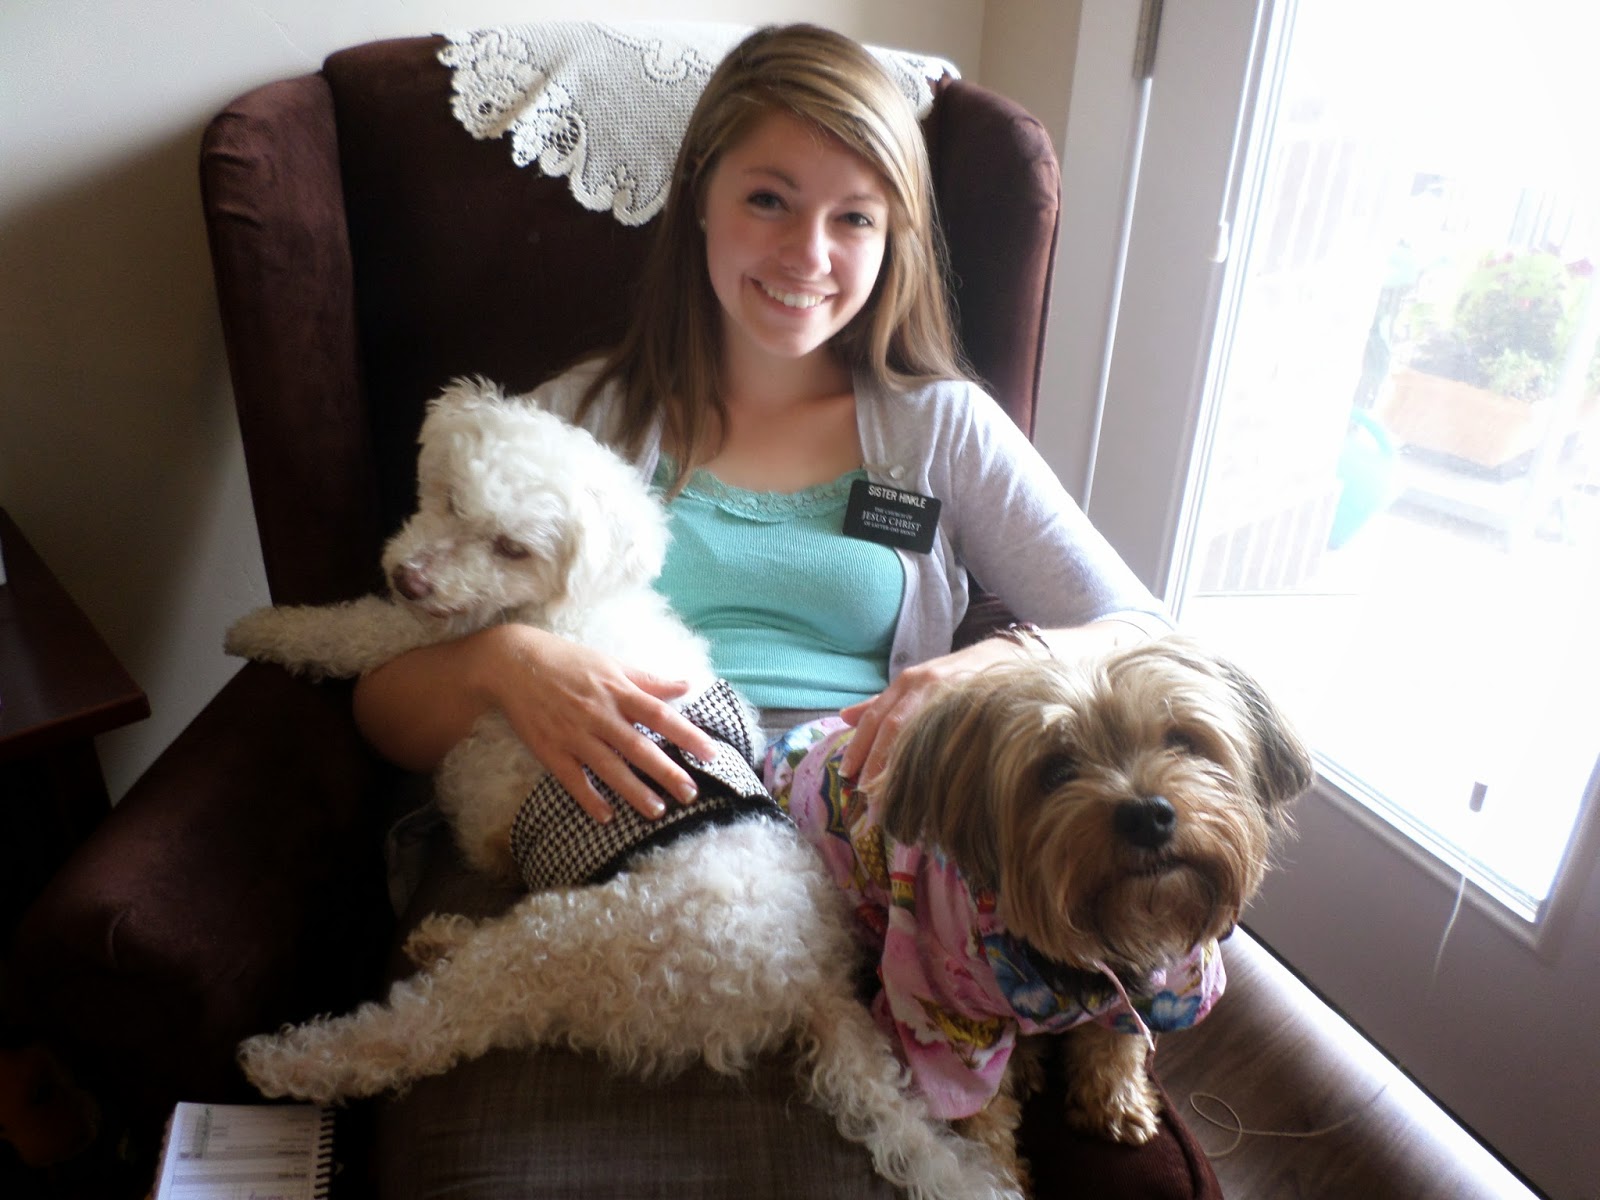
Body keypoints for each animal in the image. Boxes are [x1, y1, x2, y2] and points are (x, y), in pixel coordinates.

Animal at [766, 638, 1313, 1190]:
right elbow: (978, 1111)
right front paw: (998, 1178)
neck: (1087, 944)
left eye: (1182, 740)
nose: (1147, 814)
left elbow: (1115, 1042)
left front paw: (1113, 1101)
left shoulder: (1159, 983)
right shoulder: (941, 1009)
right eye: (1055, 771)